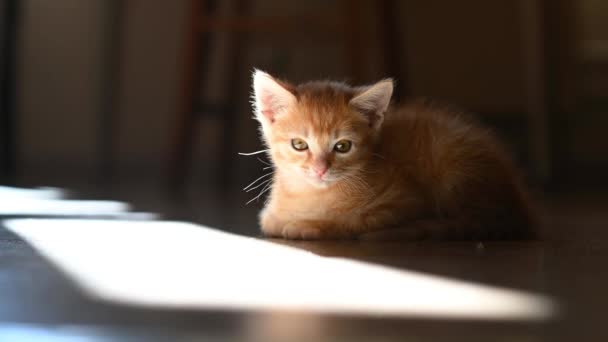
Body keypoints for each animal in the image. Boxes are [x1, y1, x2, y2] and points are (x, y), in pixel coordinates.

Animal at [252, 69, 536, 240]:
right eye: (299, 144)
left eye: (343, 146)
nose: (320, 169)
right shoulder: (269, 217)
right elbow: (269, 221)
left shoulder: (404, 202)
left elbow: (356, 220)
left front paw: (312, 226)